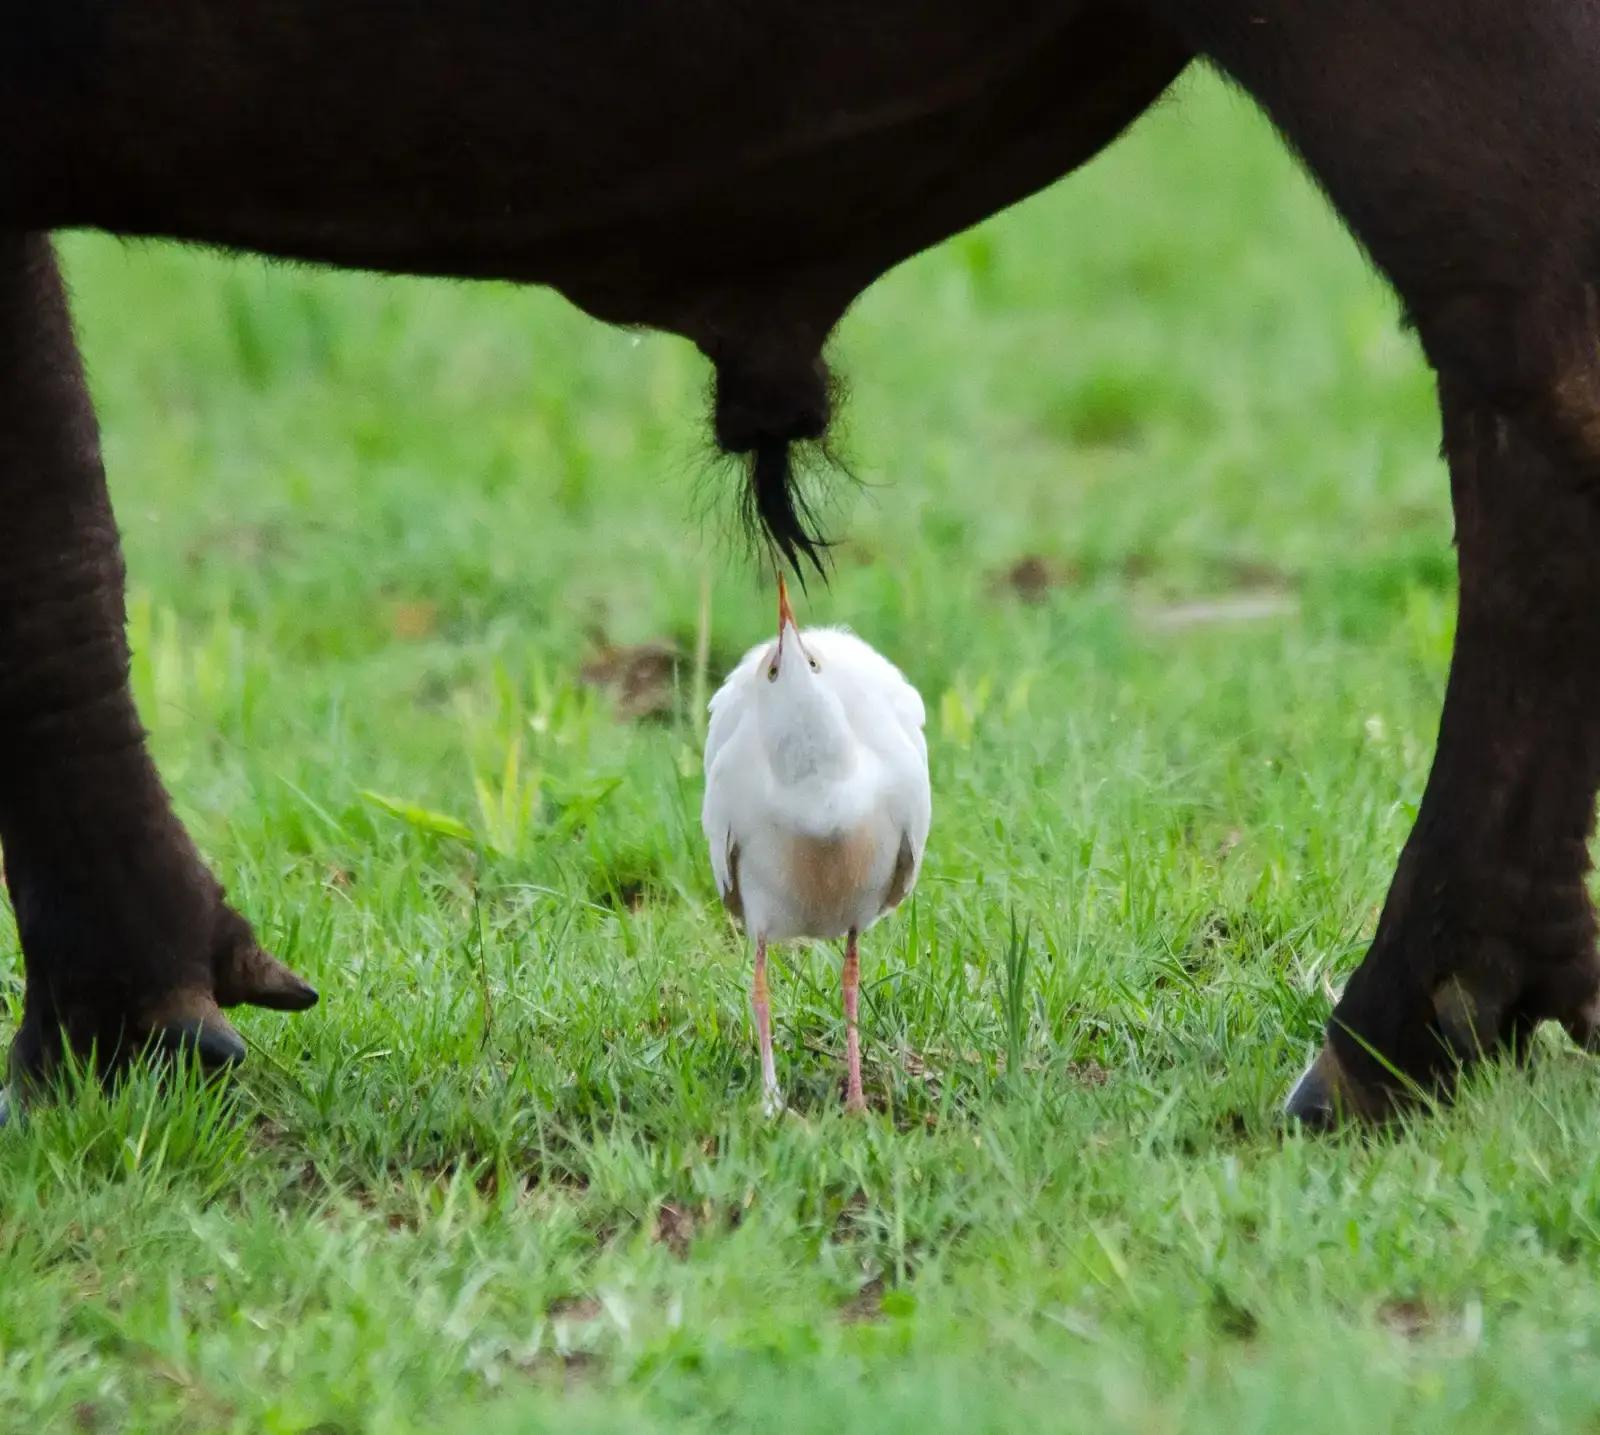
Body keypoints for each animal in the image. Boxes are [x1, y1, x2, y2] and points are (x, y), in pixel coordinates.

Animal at [3, 0, 1600, 1119]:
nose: (780, 642)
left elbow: (43, 529)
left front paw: (109, 1042)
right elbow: (60, 510)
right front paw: (131, 1026)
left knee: (1539, 371)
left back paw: (1393, 1038)